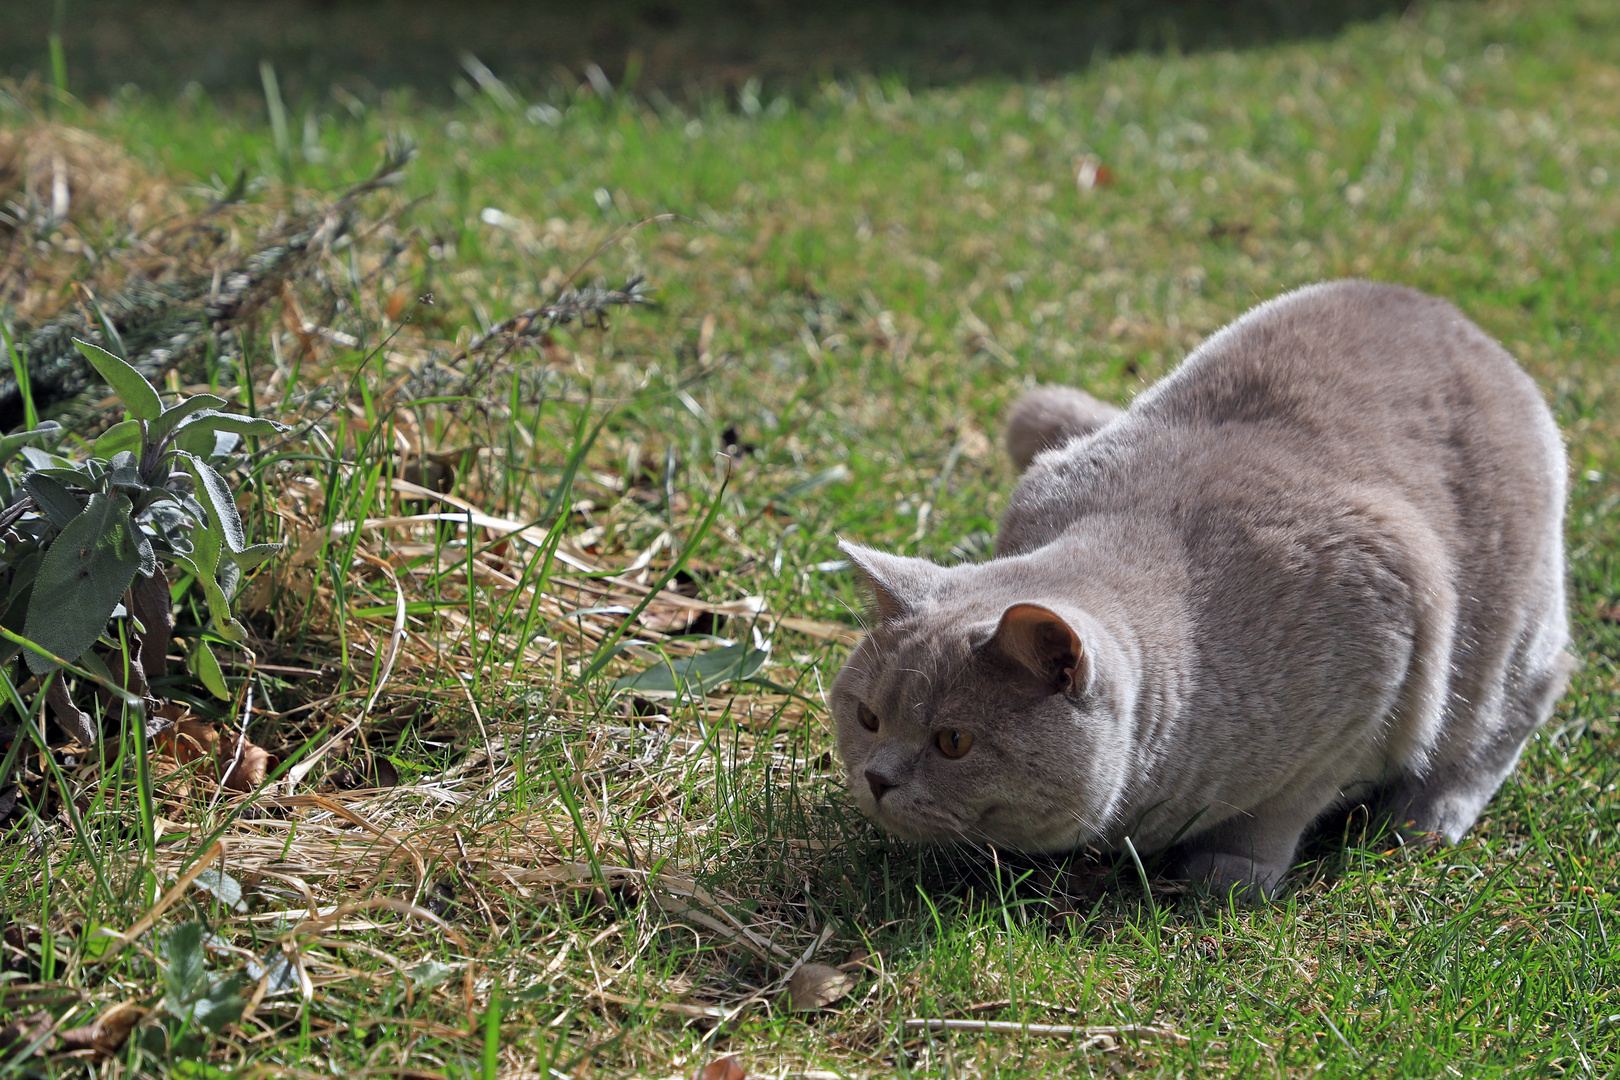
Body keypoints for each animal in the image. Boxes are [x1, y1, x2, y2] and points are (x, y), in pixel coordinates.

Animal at [829, 278, 1574, 893]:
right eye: (866, 717)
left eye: (953, 742)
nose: (877, 777)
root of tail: (1441, 309)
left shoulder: (1371, 676)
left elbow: (1281, 809)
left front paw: (1229, 875)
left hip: (1503, 643)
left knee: (1516, 709)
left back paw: (1423, 819)